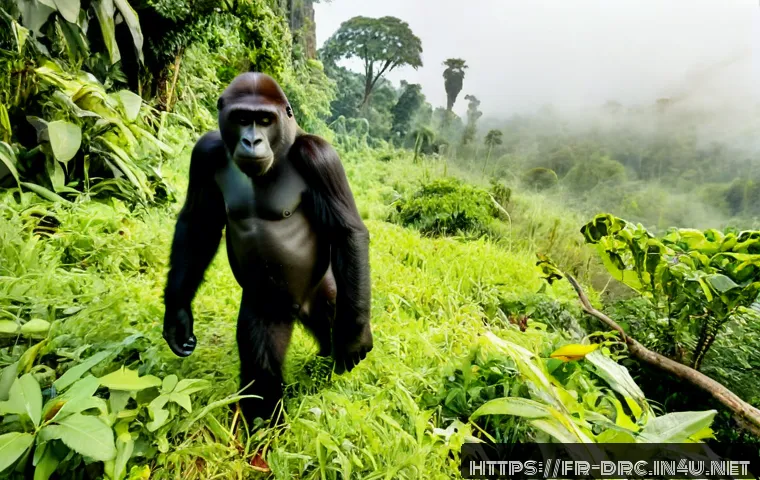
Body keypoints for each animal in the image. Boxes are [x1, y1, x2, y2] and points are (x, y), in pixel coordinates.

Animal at [162, 72, 373, 425]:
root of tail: (300, 309)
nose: (252, 142)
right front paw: (177, 315)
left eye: (264, 120)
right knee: (263, 360)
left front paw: (355, 338)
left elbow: (347, 233)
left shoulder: (320, 156)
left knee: (333, 314)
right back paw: (264, 425)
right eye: (241, 119)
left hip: (326, 293)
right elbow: (198, 225)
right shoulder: (204, 152)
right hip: (270, 306)